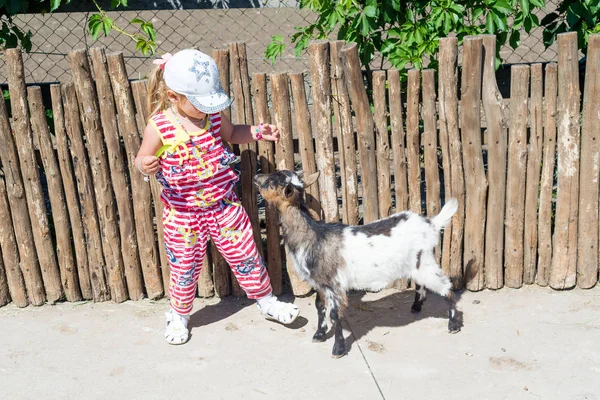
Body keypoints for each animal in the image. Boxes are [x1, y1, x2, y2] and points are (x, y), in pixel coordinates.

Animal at [253, 170, 460, 358]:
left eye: (271, 182)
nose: (256, 177)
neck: (314, 236)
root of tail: (430, 224)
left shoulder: (334, 285)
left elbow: (334, 315)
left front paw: (338, 349)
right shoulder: (320, 283)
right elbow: (319, 307)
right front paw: (319, 335)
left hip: (424, 261)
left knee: (446, 286)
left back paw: (453, 325)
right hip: (417, 263)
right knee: (422, 283)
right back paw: (417, 306)